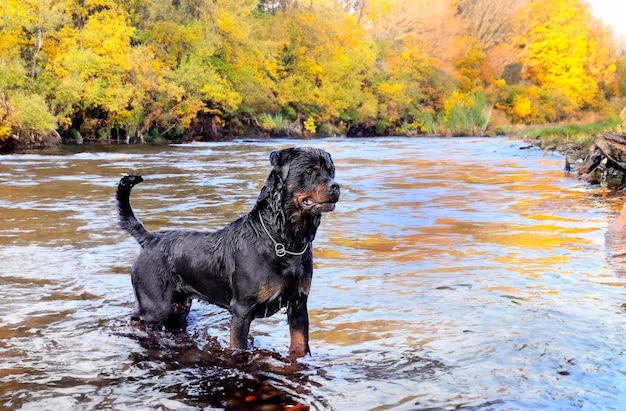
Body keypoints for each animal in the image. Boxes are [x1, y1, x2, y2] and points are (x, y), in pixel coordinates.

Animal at [117, 148, 342, 358]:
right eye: (310, 171)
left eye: (331, 171)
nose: (336, 186)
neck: (284, 239)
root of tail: (151, 239)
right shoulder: (242, 312)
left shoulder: (299, 304)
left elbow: (300, 345)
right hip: (154, 305)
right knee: (135, 319)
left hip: (179, 307)